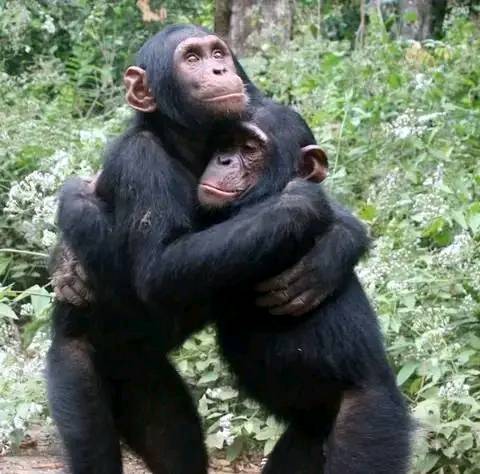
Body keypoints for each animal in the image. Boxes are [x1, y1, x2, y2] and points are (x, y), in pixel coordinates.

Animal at [47, 23, 390, 474]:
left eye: (217, 52)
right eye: (190, 58)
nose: (217, 68)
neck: (186, 149)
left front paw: (336, 241)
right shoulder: (143, 163)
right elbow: (159, 268)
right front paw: (302, 206)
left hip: (142, 375)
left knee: (173, 436)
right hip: (73, 368)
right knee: (90, 435)